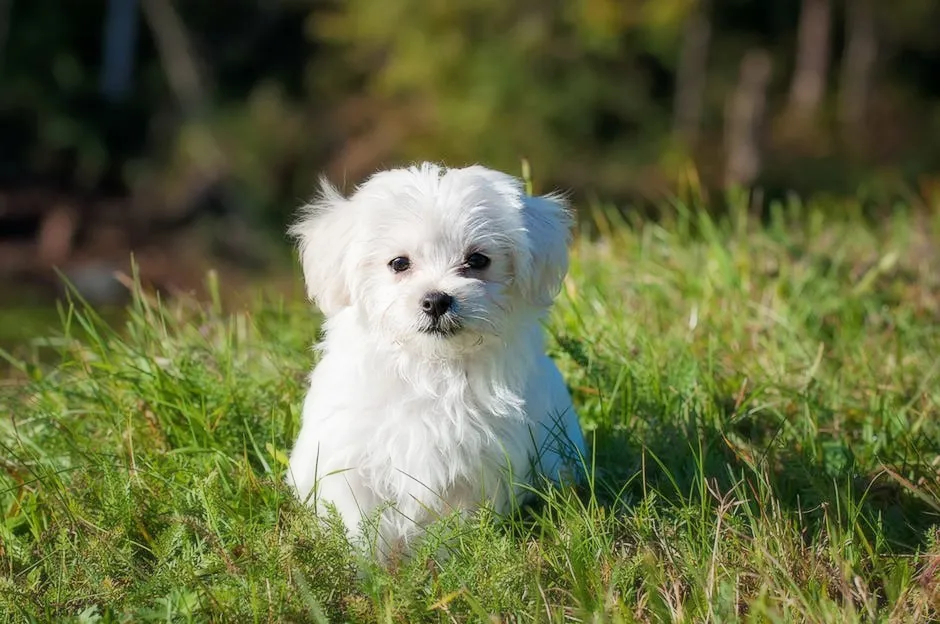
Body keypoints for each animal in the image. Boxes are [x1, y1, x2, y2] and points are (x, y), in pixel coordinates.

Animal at [282, 162, 584, 556]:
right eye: (399, 263)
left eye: (477, 260)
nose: (437, 299)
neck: (432, 367)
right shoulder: (348, 457)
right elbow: (358, 521)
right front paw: (366, 565)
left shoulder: (479, 466)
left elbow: (456, 524)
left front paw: (447, 559)